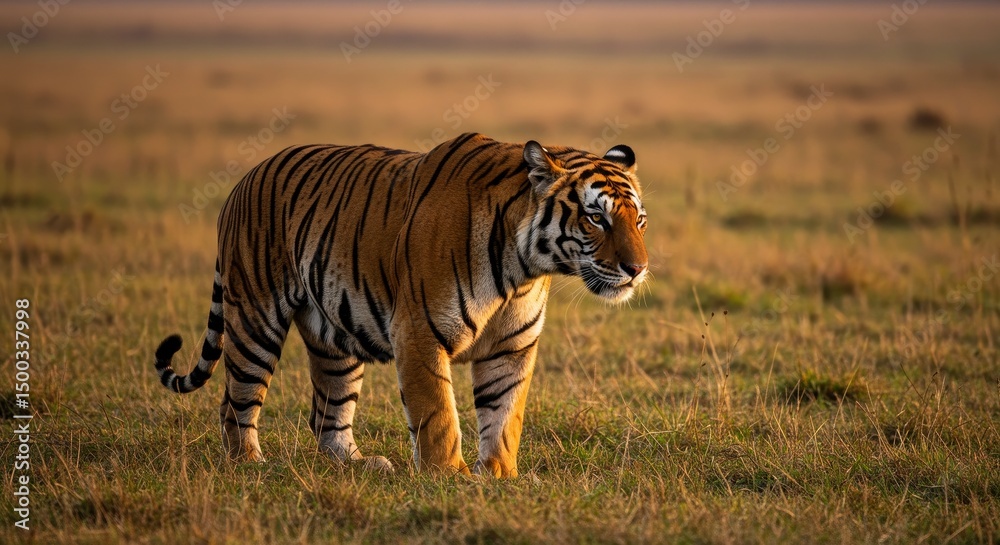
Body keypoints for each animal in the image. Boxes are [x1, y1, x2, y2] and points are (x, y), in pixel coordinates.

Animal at [154, 132, 648, 477]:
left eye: (639, 219)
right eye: (596, 218)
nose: (637, 269)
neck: (523, 269)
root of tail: (245, 178)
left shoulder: (512, 346)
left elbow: (505, 415)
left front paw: (500, 476)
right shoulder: (419, 331)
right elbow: (438, 412)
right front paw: (450, 477)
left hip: (334, 339)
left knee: (327, 413)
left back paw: (355, 464)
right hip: (255, 319)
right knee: (235, 400)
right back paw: (249, 465)